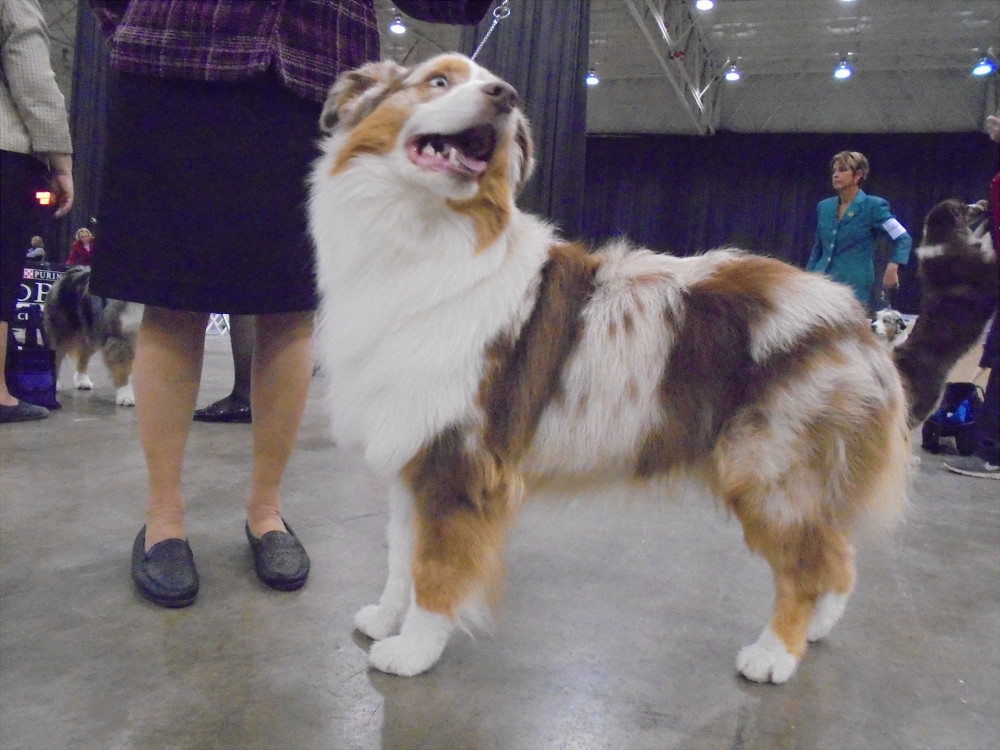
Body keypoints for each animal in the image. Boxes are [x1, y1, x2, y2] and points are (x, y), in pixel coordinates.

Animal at [41, 264, 141, 406]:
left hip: (93, 331)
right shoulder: (118, 337)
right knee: (57, 355)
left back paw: (82, 380)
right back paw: (55, 384)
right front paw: (125, 396)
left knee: (84, 354)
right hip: (61, 331)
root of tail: (71, 271)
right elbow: (123, 368)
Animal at [308, 53, 996, 688]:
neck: (423, 237)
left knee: (808, 562)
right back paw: (818, 631)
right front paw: (384, 617)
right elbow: (401, 555)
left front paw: (411, 651)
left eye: (493, 87)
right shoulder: (414, 445)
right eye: (438, 81)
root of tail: (861, 325)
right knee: (839, 556)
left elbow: (436, 567)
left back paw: (775, 654)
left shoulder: (459, 459)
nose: (504, 95)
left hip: (771, 470)